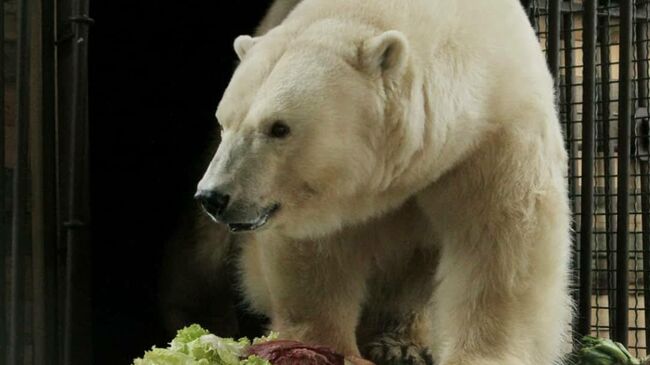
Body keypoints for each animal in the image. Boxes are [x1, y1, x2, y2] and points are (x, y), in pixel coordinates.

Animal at [195, 0, 568, 364]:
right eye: (224, 122)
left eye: (279, 127)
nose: (213, 196)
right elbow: (315, 252)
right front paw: (320, 347)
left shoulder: (493, 135)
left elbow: (501, 243)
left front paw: (484, 355)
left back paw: (400, 343)